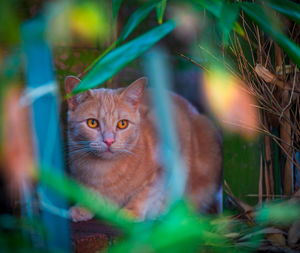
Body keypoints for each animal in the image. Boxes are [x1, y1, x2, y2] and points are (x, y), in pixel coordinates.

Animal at [66, 75, 223, 221]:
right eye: (92, 123)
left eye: (122, 124)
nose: (109, 141)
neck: (104, 170)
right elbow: (91, 194)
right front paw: (85, 207)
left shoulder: (167, 168)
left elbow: (145, 194)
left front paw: (131, 212)